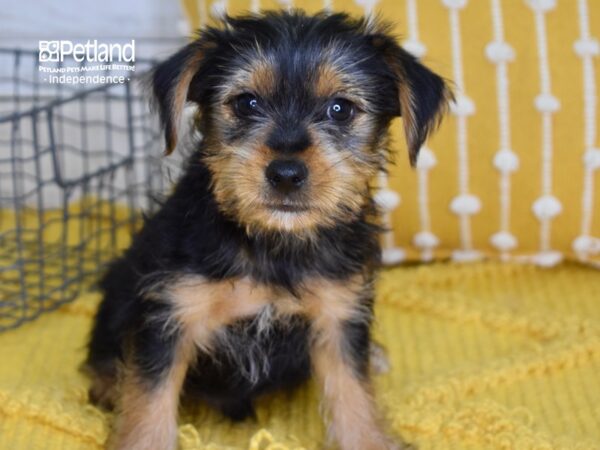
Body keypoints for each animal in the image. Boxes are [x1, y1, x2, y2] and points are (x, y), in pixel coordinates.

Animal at [85, 10, 450, 450]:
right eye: (246, 103)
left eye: (341, 109)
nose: (286, 174)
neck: (273, 244)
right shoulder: (169, 314)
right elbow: (148, 404)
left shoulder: (338, 316)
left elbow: (354, 396)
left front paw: (370, 439)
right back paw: (106, 386)